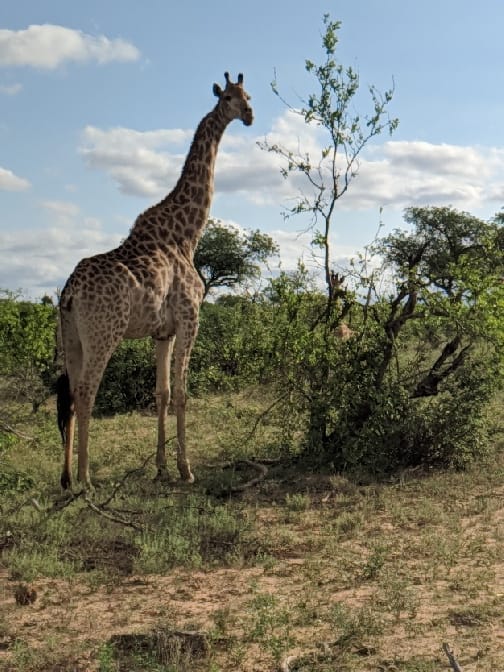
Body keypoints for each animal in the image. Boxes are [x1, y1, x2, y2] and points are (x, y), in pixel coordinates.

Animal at [57, 72, 254, 488]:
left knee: (68, 394)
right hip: (105, 332)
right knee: (86, 391)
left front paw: (162, 467)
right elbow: (181, 394)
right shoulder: (191, 318)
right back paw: (86, 478)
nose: (249, 115)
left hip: (70, 336)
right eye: (228, 98)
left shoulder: (162, 332)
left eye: (249, 95)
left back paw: (66, 478)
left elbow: (160, 393)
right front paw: (186, 469)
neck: (187, 234)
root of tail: (69, 293)